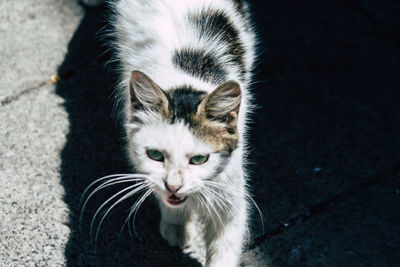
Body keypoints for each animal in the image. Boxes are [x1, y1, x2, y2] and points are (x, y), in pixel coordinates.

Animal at [79, 0, 258, 266]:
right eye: (155, 155)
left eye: (200, 159)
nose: (173, 185)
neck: (187, 78)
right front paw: (176, 225)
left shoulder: (229, 191)